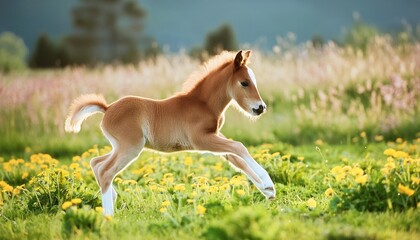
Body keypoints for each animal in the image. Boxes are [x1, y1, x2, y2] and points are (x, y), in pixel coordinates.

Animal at [65, 50, 276, 216]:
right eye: (244, 83)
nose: (261, 108)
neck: (202, 103)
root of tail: (107, 108)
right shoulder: (202, 140)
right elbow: (239, 147)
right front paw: (267, 182)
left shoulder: (213, 137)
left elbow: (237, 159)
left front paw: (268, 190)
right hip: (130, 147)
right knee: (106, 170)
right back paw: (109, 215)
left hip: (119, 146)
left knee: (96, 163)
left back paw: (112, 196)